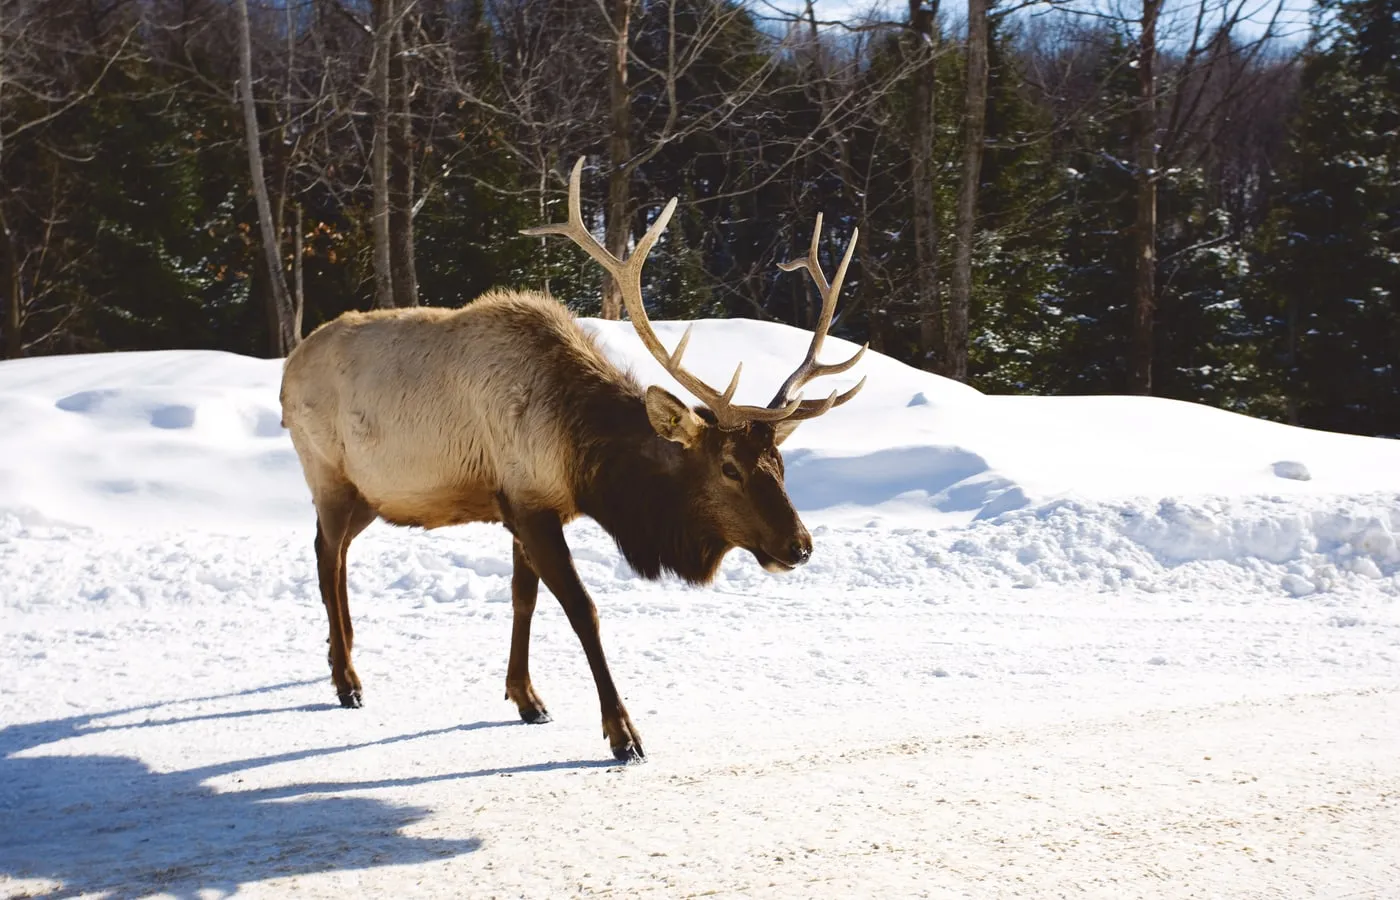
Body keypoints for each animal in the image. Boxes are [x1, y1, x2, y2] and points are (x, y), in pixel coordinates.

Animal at [279, 158, 867, 762]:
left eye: (780, 463)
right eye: (728, 468)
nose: (800, 546)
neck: (581, 457)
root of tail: (288, 368)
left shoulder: (522, 505)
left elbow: (524, 599)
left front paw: (526, 697)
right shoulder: (531, 505)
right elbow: (583, 609)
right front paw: (622, 733)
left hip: (369, 495)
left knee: (336, 553)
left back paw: (339, 658)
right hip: (327, 472)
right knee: (327, 555)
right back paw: (347, 680)